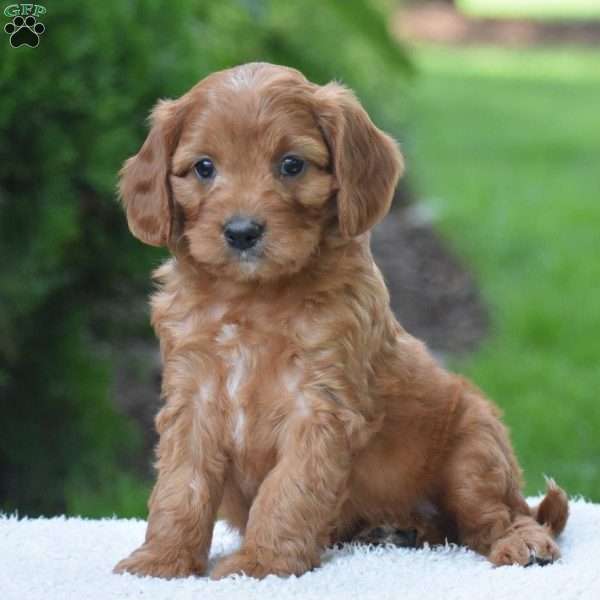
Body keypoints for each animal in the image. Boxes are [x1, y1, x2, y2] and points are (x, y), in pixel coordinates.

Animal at [115, 62, 568, 580]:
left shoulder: (320, 406)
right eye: (204, 167)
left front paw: (259, 562)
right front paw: (162, 559)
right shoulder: (192, 399)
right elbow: (180, 487)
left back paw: (522, 541)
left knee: (495, 515)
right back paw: (395, 529)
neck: (253, 297)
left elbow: (287, 490)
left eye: (292, 164)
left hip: (474, 449)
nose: (242, 232)